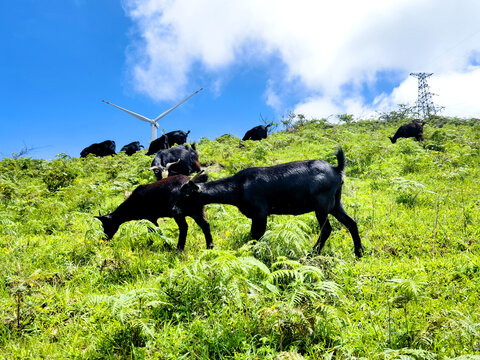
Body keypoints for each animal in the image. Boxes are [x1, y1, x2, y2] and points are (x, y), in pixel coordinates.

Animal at [173, 148, 364, 258]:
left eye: (186, 194)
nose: (174, 209)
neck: (238, 186)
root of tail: (336, 169)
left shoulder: (260, 212)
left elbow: (257, 235)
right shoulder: (256, 216)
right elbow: (255, 235)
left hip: (322, 205)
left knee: (326, 229)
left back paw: (311, 254)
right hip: (335, 204)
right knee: (351, 223)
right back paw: (359, 253)